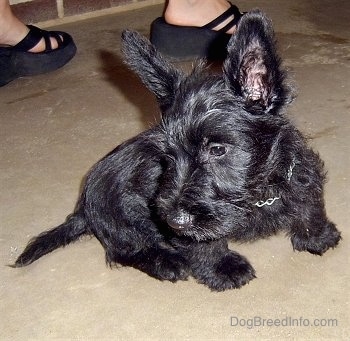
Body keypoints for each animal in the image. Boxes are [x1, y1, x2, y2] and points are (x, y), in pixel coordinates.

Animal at [13, 11, 340, 290]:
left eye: (217, 149)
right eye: (167, 156)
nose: (174, 221)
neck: (260, 194)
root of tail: (82, 208)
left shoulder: (301, 175)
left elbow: (309, 203)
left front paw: (318, 236)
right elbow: (203, 243)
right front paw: (222, 267)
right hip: (120, 218)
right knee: (123, 250)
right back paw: (166, 262)